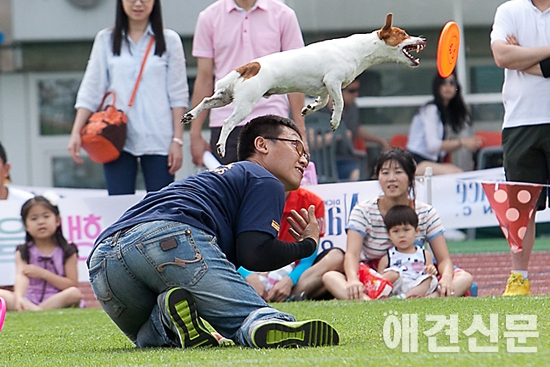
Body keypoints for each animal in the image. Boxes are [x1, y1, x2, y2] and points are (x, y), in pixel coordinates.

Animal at [181, 12, 426, 157]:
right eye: (403, 34)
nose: (423, 39)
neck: (360, 49)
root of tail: (250, 66)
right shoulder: (333, 81)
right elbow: (340, 104)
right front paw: (334, 121)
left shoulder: (324, 87)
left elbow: (323, 102)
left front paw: (310, 108)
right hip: (244, 104)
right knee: (227, 123)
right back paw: (221, 146)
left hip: (224, 96)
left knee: (205, 101)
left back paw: (190, 115)